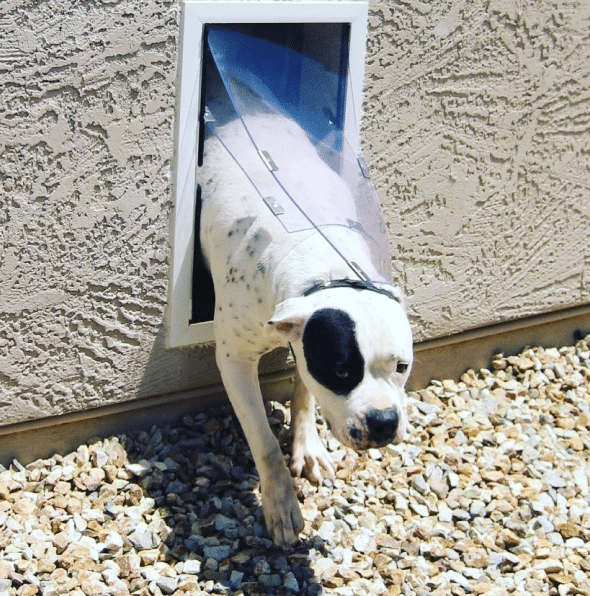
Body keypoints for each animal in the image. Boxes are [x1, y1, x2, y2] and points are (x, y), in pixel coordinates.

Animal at [201, 109, 414, 548]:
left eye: (402, 367)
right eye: (341, 371)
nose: (384, 422)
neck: (322, 263)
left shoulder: (303, 340)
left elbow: (305, 393)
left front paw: (308, 447)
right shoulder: (233, 359)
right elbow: (263, 440)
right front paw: (280, 503)